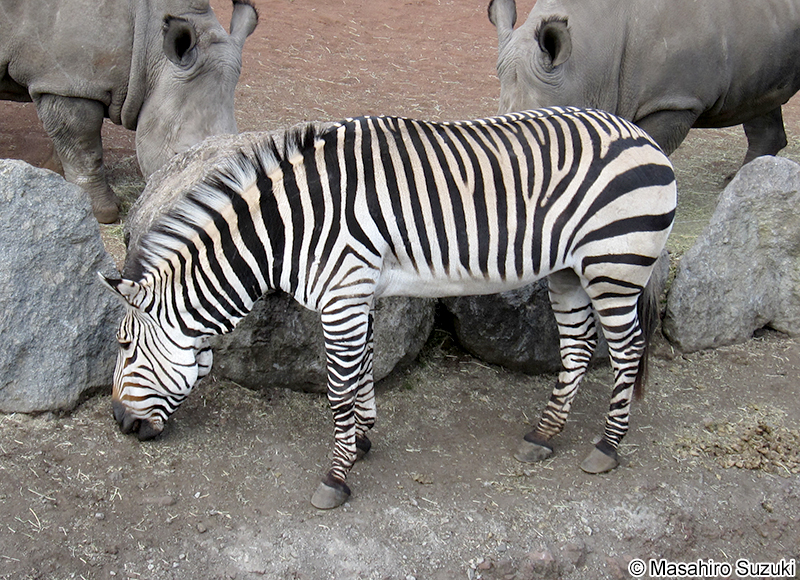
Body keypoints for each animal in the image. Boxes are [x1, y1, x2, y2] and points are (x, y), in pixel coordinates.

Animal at [101, 106, 677, 509]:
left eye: (125, 346)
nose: (119, 424)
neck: (288, 228)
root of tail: (641, 135)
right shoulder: (360, 293)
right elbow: (362, 371)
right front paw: (361, 439)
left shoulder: (342, 295)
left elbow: (338, 388)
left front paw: (336, 476)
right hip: (569, 271)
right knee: (578, 349)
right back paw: (543, 436)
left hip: (614, 264)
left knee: (627, 351)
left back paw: (606, 447)